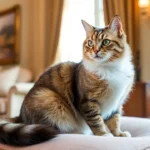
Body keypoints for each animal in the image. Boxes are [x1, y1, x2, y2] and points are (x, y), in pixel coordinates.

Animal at [0, 15, 134, 146]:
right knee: (53, 128)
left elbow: (115, 121)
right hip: (49, 99)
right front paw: (103, 135)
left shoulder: (117, 103)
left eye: (106, 42)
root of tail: (19, 118)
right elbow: (97, 121)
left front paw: (119, 134)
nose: (95, 51)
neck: (110, 68)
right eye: (90, 43)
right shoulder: (87, 102)